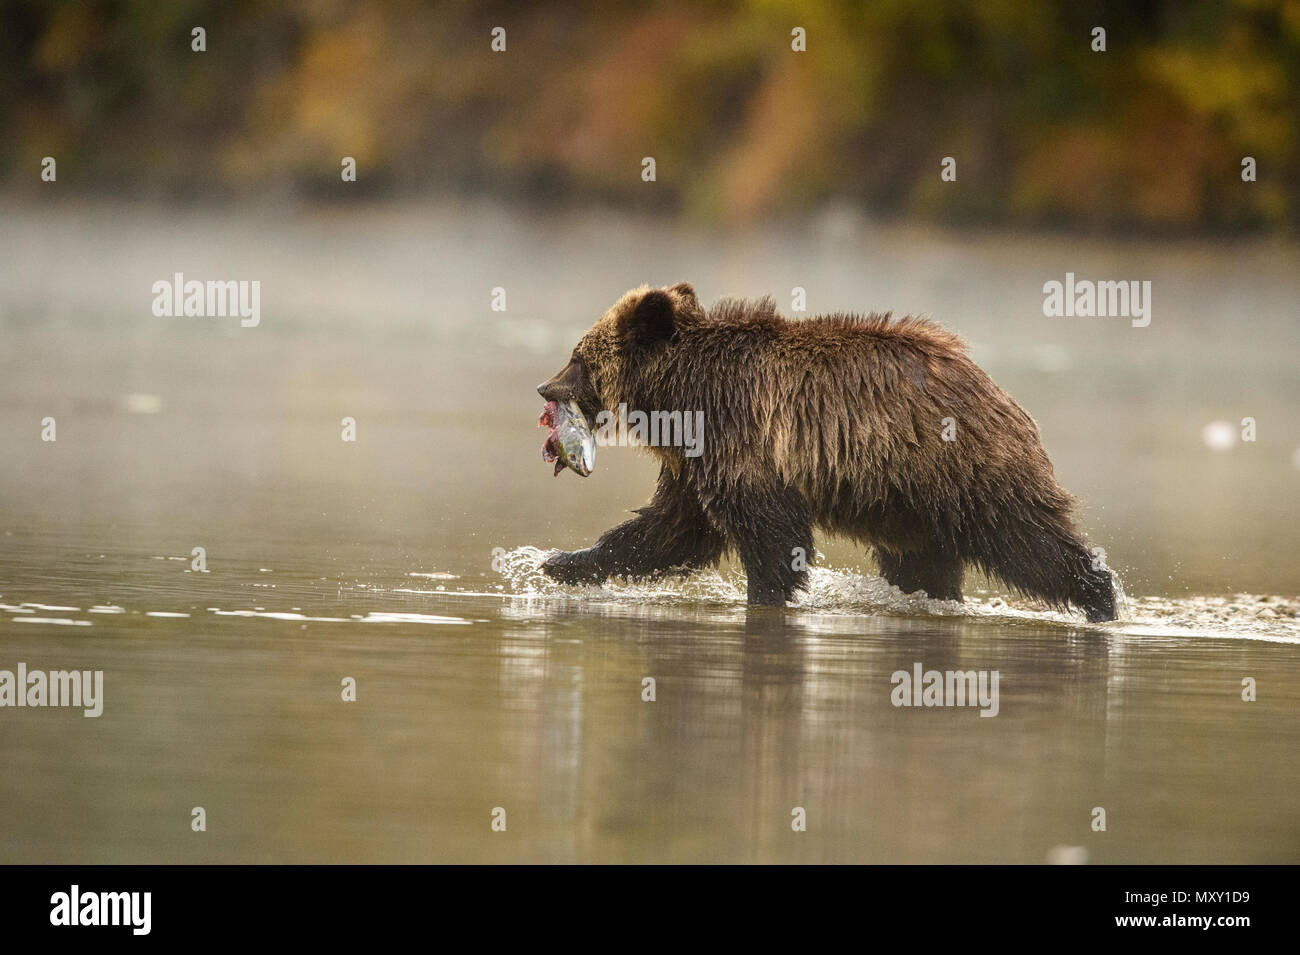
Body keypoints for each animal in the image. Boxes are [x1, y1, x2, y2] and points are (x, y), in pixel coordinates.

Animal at [538, 280, 1118, 623]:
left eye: (578, 357)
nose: (545, 387)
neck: (679, 395)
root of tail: (998, 390)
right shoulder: (694, 463)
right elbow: (670, 531)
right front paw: (560, 563)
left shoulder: (742, 437)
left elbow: (770, 538)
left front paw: (767, 594)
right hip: (908, 506)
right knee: (927, 565)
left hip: (966, 470)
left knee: (1030, 541)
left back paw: (1100, 597)